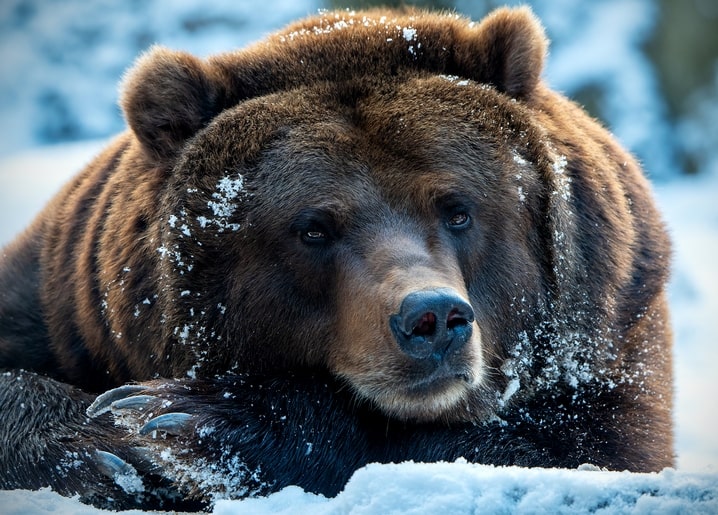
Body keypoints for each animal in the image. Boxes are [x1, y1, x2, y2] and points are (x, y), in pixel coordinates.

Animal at [0, 6, 673, 511]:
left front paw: (187, 419)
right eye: (314, 229)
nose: (432, 318)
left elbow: (578, 451)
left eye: (458, 209)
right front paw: (105, 443)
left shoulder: (614, 327)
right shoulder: (66, 303)